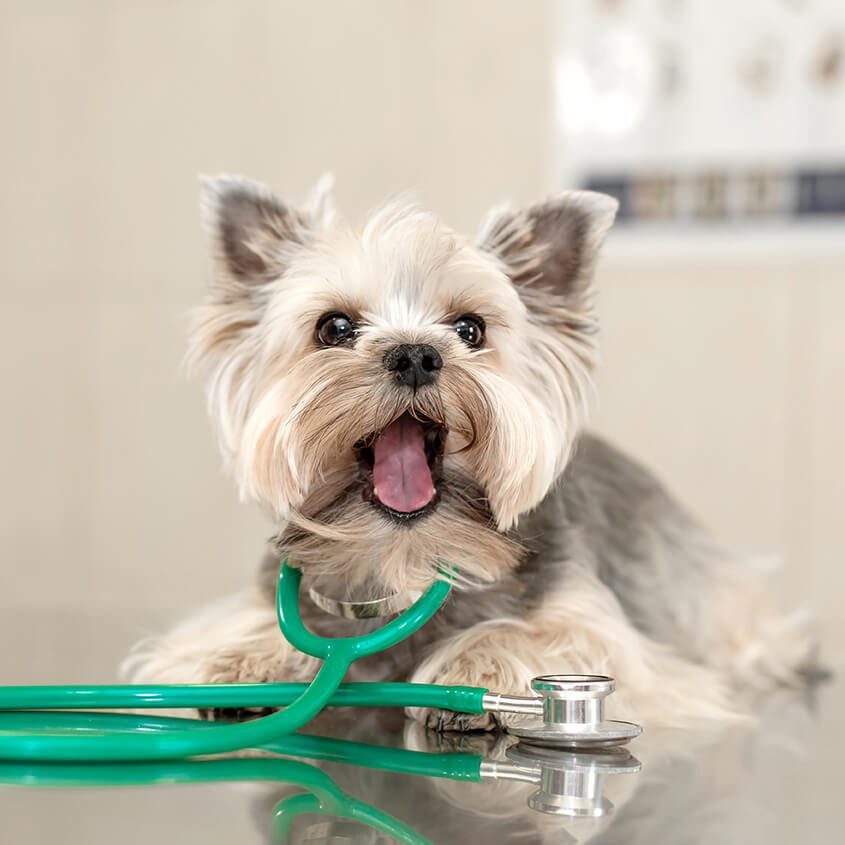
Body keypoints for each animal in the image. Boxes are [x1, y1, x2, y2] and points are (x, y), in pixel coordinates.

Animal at [123, 173, 812, 724]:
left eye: (470, 329)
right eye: (334, 327)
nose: (414, 353)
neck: (403, 554)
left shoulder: (614, 638)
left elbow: (564, 639)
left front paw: (480, 665)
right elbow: (231, 628)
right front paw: (245, 654)